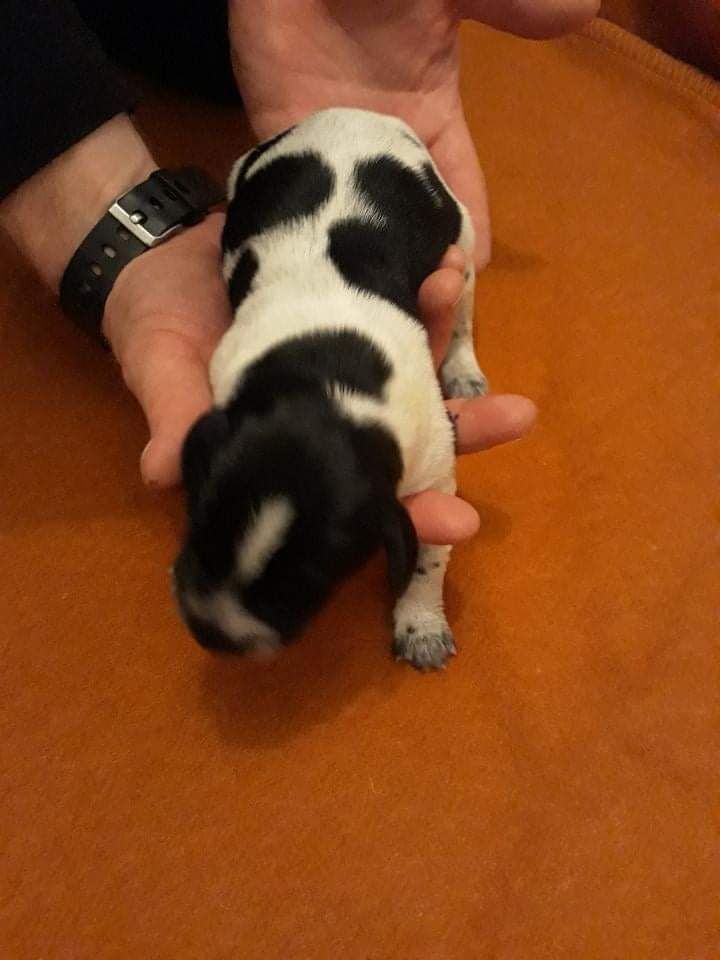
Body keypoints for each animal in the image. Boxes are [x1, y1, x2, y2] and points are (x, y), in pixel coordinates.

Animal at [173, 108, 487, 670]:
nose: (212, 634)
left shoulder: (432, 467)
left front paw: (421, 623)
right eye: (202, 527)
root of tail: (355, 112)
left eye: (306, 585)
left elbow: (426, 561)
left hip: (464, 241)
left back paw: (462, 367)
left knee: (463, 317)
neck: (327, 387)